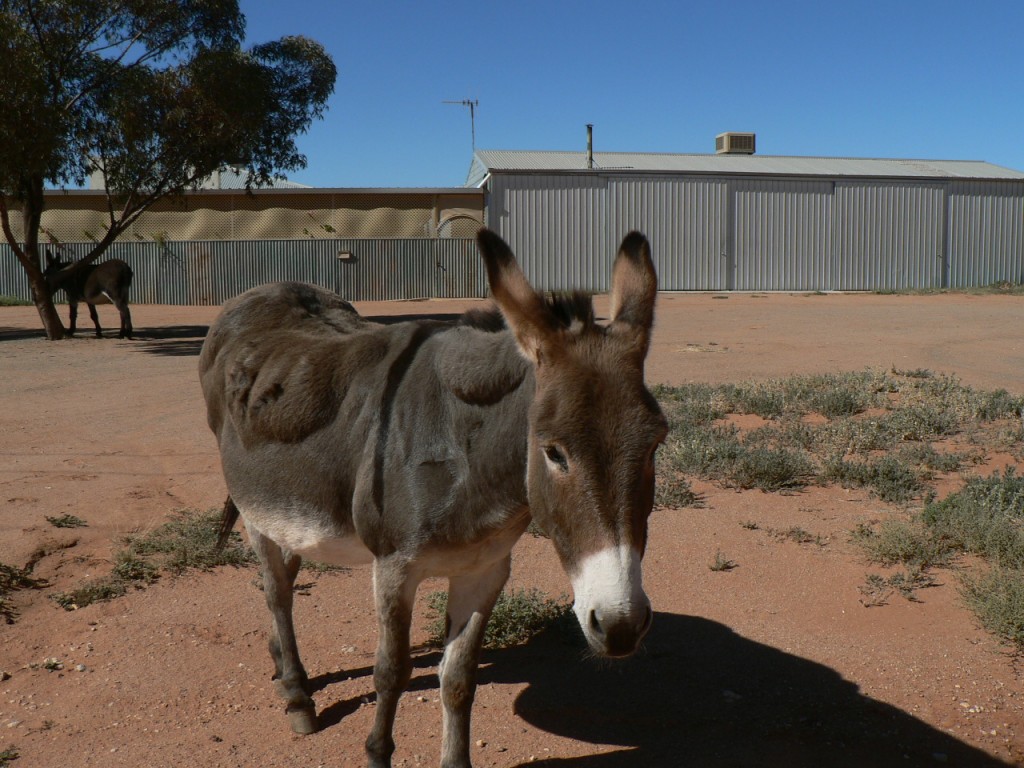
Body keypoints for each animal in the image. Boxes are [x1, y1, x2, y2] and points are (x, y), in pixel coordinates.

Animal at [198, 228, 667, 767]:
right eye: (554, 452)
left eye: (656, 443)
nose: (620, 626)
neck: (466, 456)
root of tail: (260, 290)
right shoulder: (394, 568)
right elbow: (391, 671)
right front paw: (377, 753)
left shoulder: (485, 570)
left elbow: (458, 679)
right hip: (255, 510)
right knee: (276, 593)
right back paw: (298, 696)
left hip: (292, 512)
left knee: (289, 575)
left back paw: (281, 671)